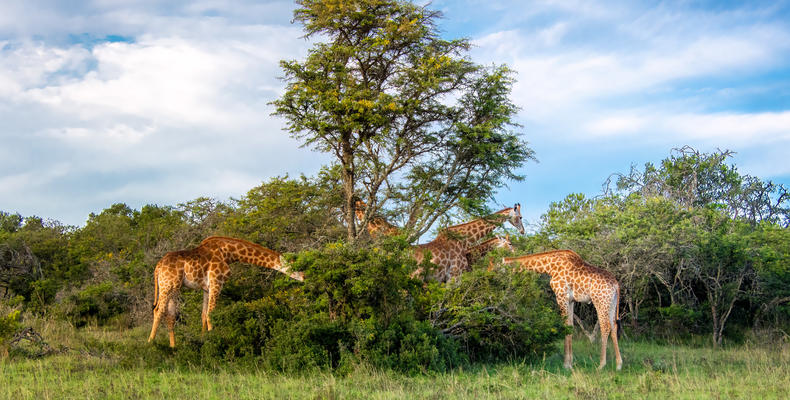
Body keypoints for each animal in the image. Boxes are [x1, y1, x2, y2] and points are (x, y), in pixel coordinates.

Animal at [147, 238, 304, 346]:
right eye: (295, 266)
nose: (304, 277)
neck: (229, 253)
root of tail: (157, 267)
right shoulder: (217, 282)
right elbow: (211, 313)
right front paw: (214, 341)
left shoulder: (206, 287)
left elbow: (203, 314)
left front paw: (203, 340)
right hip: (168, 286)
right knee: (158, 310)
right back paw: (150, 344)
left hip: (174, 288)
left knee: (170, 315)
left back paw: (173, 347)